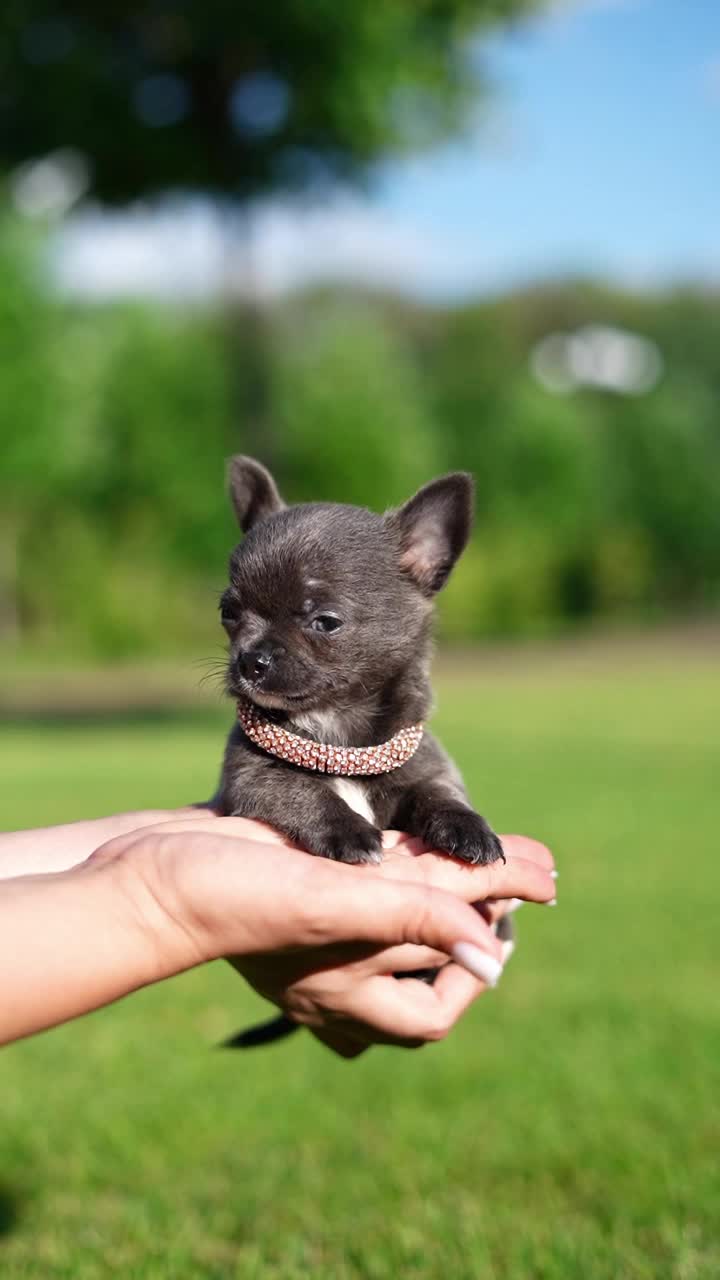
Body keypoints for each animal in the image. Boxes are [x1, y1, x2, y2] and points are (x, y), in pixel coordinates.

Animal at [215, 455, 502, 1044]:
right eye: (228, 613)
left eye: (324, 622)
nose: (251, 659)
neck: (334, 731)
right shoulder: (252, 779)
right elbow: (303, 791)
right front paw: (347, 831)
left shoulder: (425, 768)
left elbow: (440, 794)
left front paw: (467, 827)